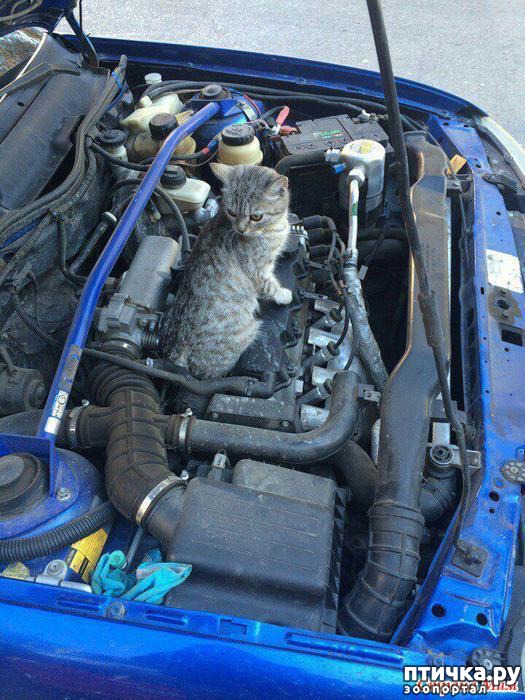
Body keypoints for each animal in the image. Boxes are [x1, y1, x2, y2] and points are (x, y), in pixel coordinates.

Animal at [160, 162, 292, 379]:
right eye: (231, 211)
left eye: (256, 216)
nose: (241, 229)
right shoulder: (257, 272)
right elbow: (270, 287)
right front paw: (284, 295)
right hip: (248, 332)